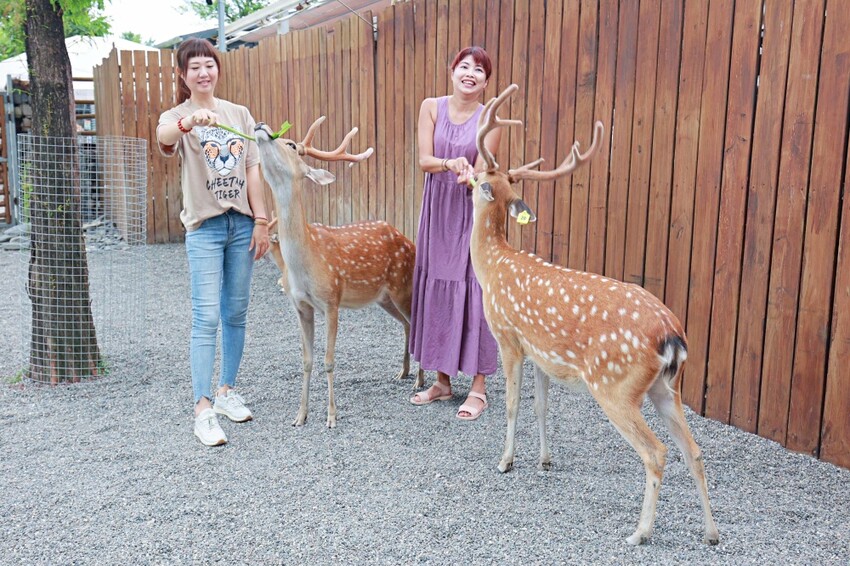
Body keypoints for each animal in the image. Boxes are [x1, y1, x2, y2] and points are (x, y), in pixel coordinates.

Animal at [254, 116, 424, 428]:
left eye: (291, 144)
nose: (260, 125)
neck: (303, 265)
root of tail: (409, 241)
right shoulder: (300, 306)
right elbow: (306, 361)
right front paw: (300, 415)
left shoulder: (332, 299)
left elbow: (329, 360)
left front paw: (331, 416)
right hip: (384, 298)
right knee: (406, 324)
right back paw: (403, 372)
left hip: (404, 285)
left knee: (417, 322)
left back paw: (420, 379)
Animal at [467, 84, 719, 546]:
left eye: (478, 177)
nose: (463, 178)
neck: (493, 266)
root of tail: (673, 337)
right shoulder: (542, 353)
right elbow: (541, 407)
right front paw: (545, 460)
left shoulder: (509, 338)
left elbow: (511, 404)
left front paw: (506, 460)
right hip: (667, 387)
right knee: (693, 450)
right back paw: (711, 533)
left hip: (615, 386)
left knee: (657, 451)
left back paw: (640, 533)